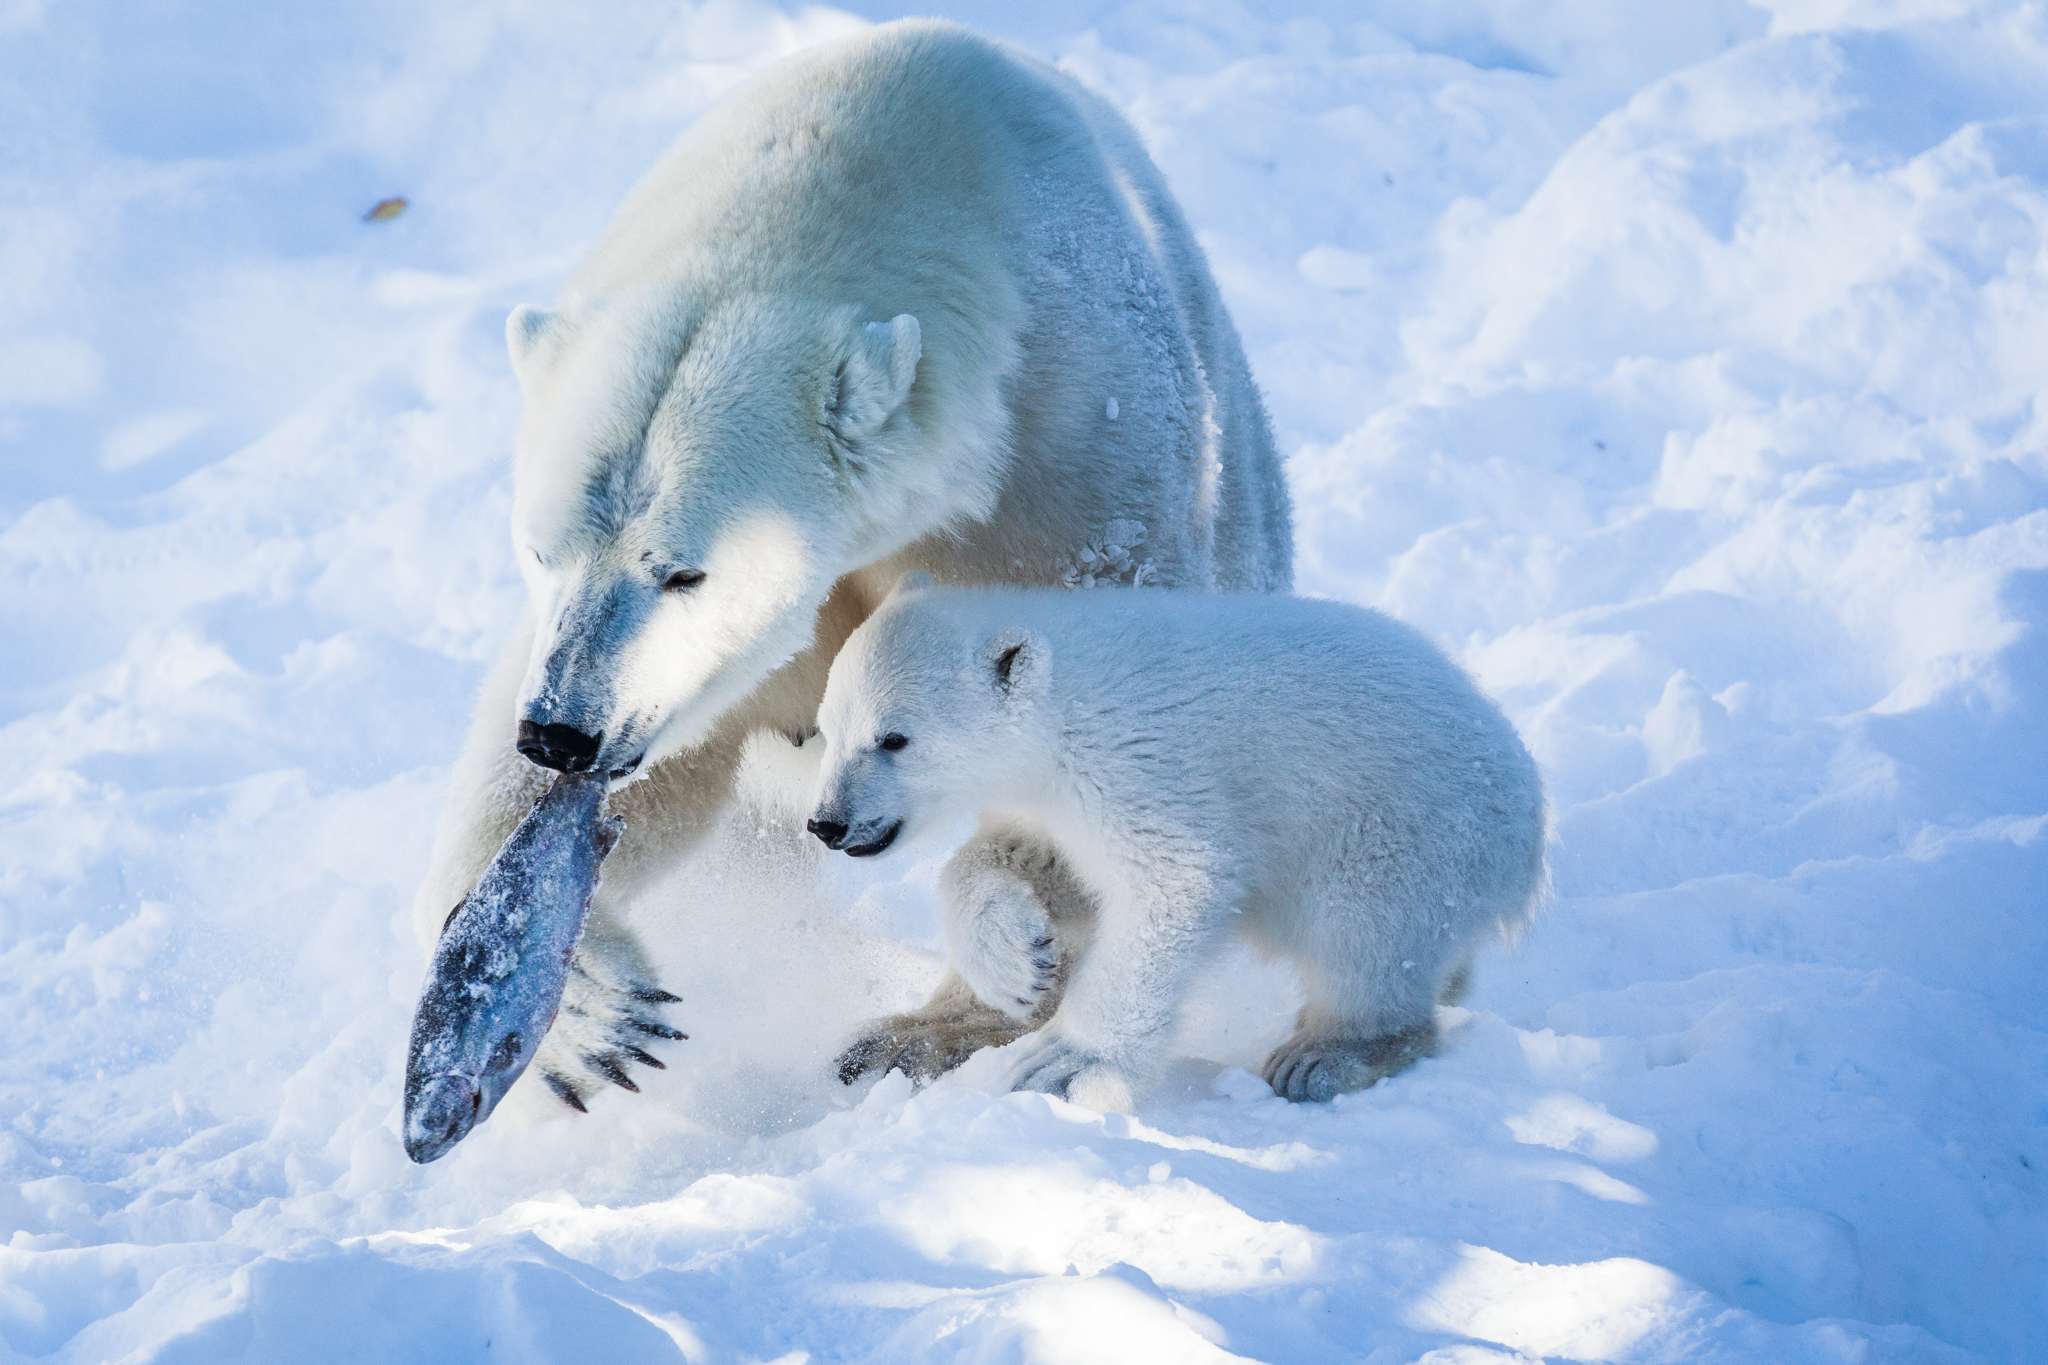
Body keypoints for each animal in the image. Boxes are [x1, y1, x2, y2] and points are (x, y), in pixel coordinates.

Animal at [407, 18, 1286, 1113]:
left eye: (684, 571)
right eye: (539, 548)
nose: (563, 734)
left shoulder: (1069, 453)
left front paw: (997, 953)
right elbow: (664, 763)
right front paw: (584, 1011)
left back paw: (921, 1032)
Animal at [806, 585, 1540, 1113]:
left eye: (894, 738)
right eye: (827, 729)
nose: (827, 823)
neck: (1065, 704)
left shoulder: (1137, 766)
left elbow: (1174, 880)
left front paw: (1068, 1065)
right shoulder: (1052, 801)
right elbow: (1031, 863)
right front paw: (1018, 964)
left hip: (1400, 831)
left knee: (1364, 941)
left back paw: (1325, 1055)